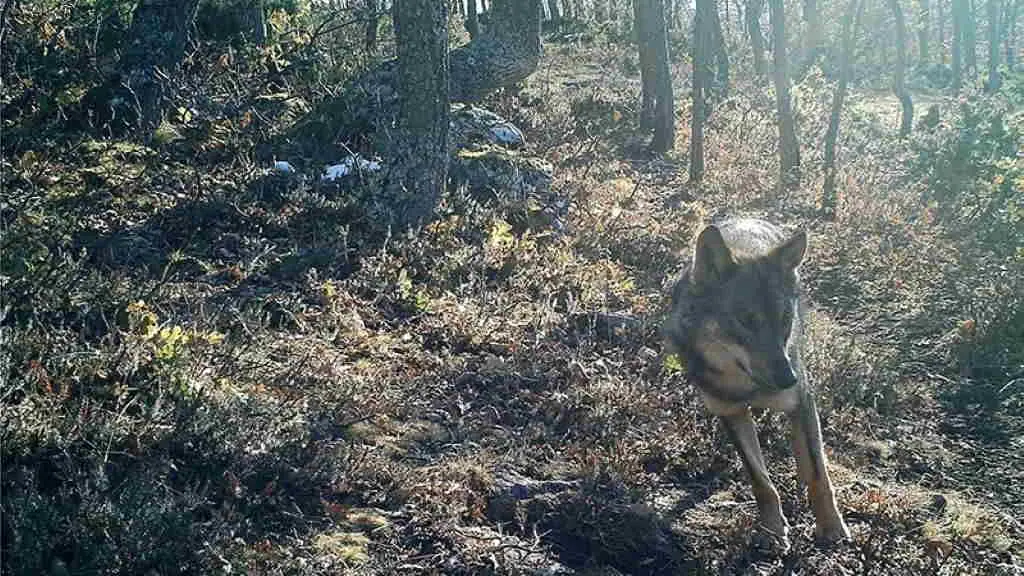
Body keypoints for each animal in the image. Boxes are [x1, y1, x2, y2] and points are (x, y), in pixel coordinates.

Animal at [664, 217, 849, 553]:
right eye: (746, 320)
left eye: (784, 319)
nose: (788, 378)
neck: (747, 388)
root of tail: (749, 217)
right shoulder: (731, 413)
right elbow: (761, 480)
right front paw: (773, 530)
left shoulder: (802, 399)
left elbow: (818, 474)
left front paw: (831, 527)